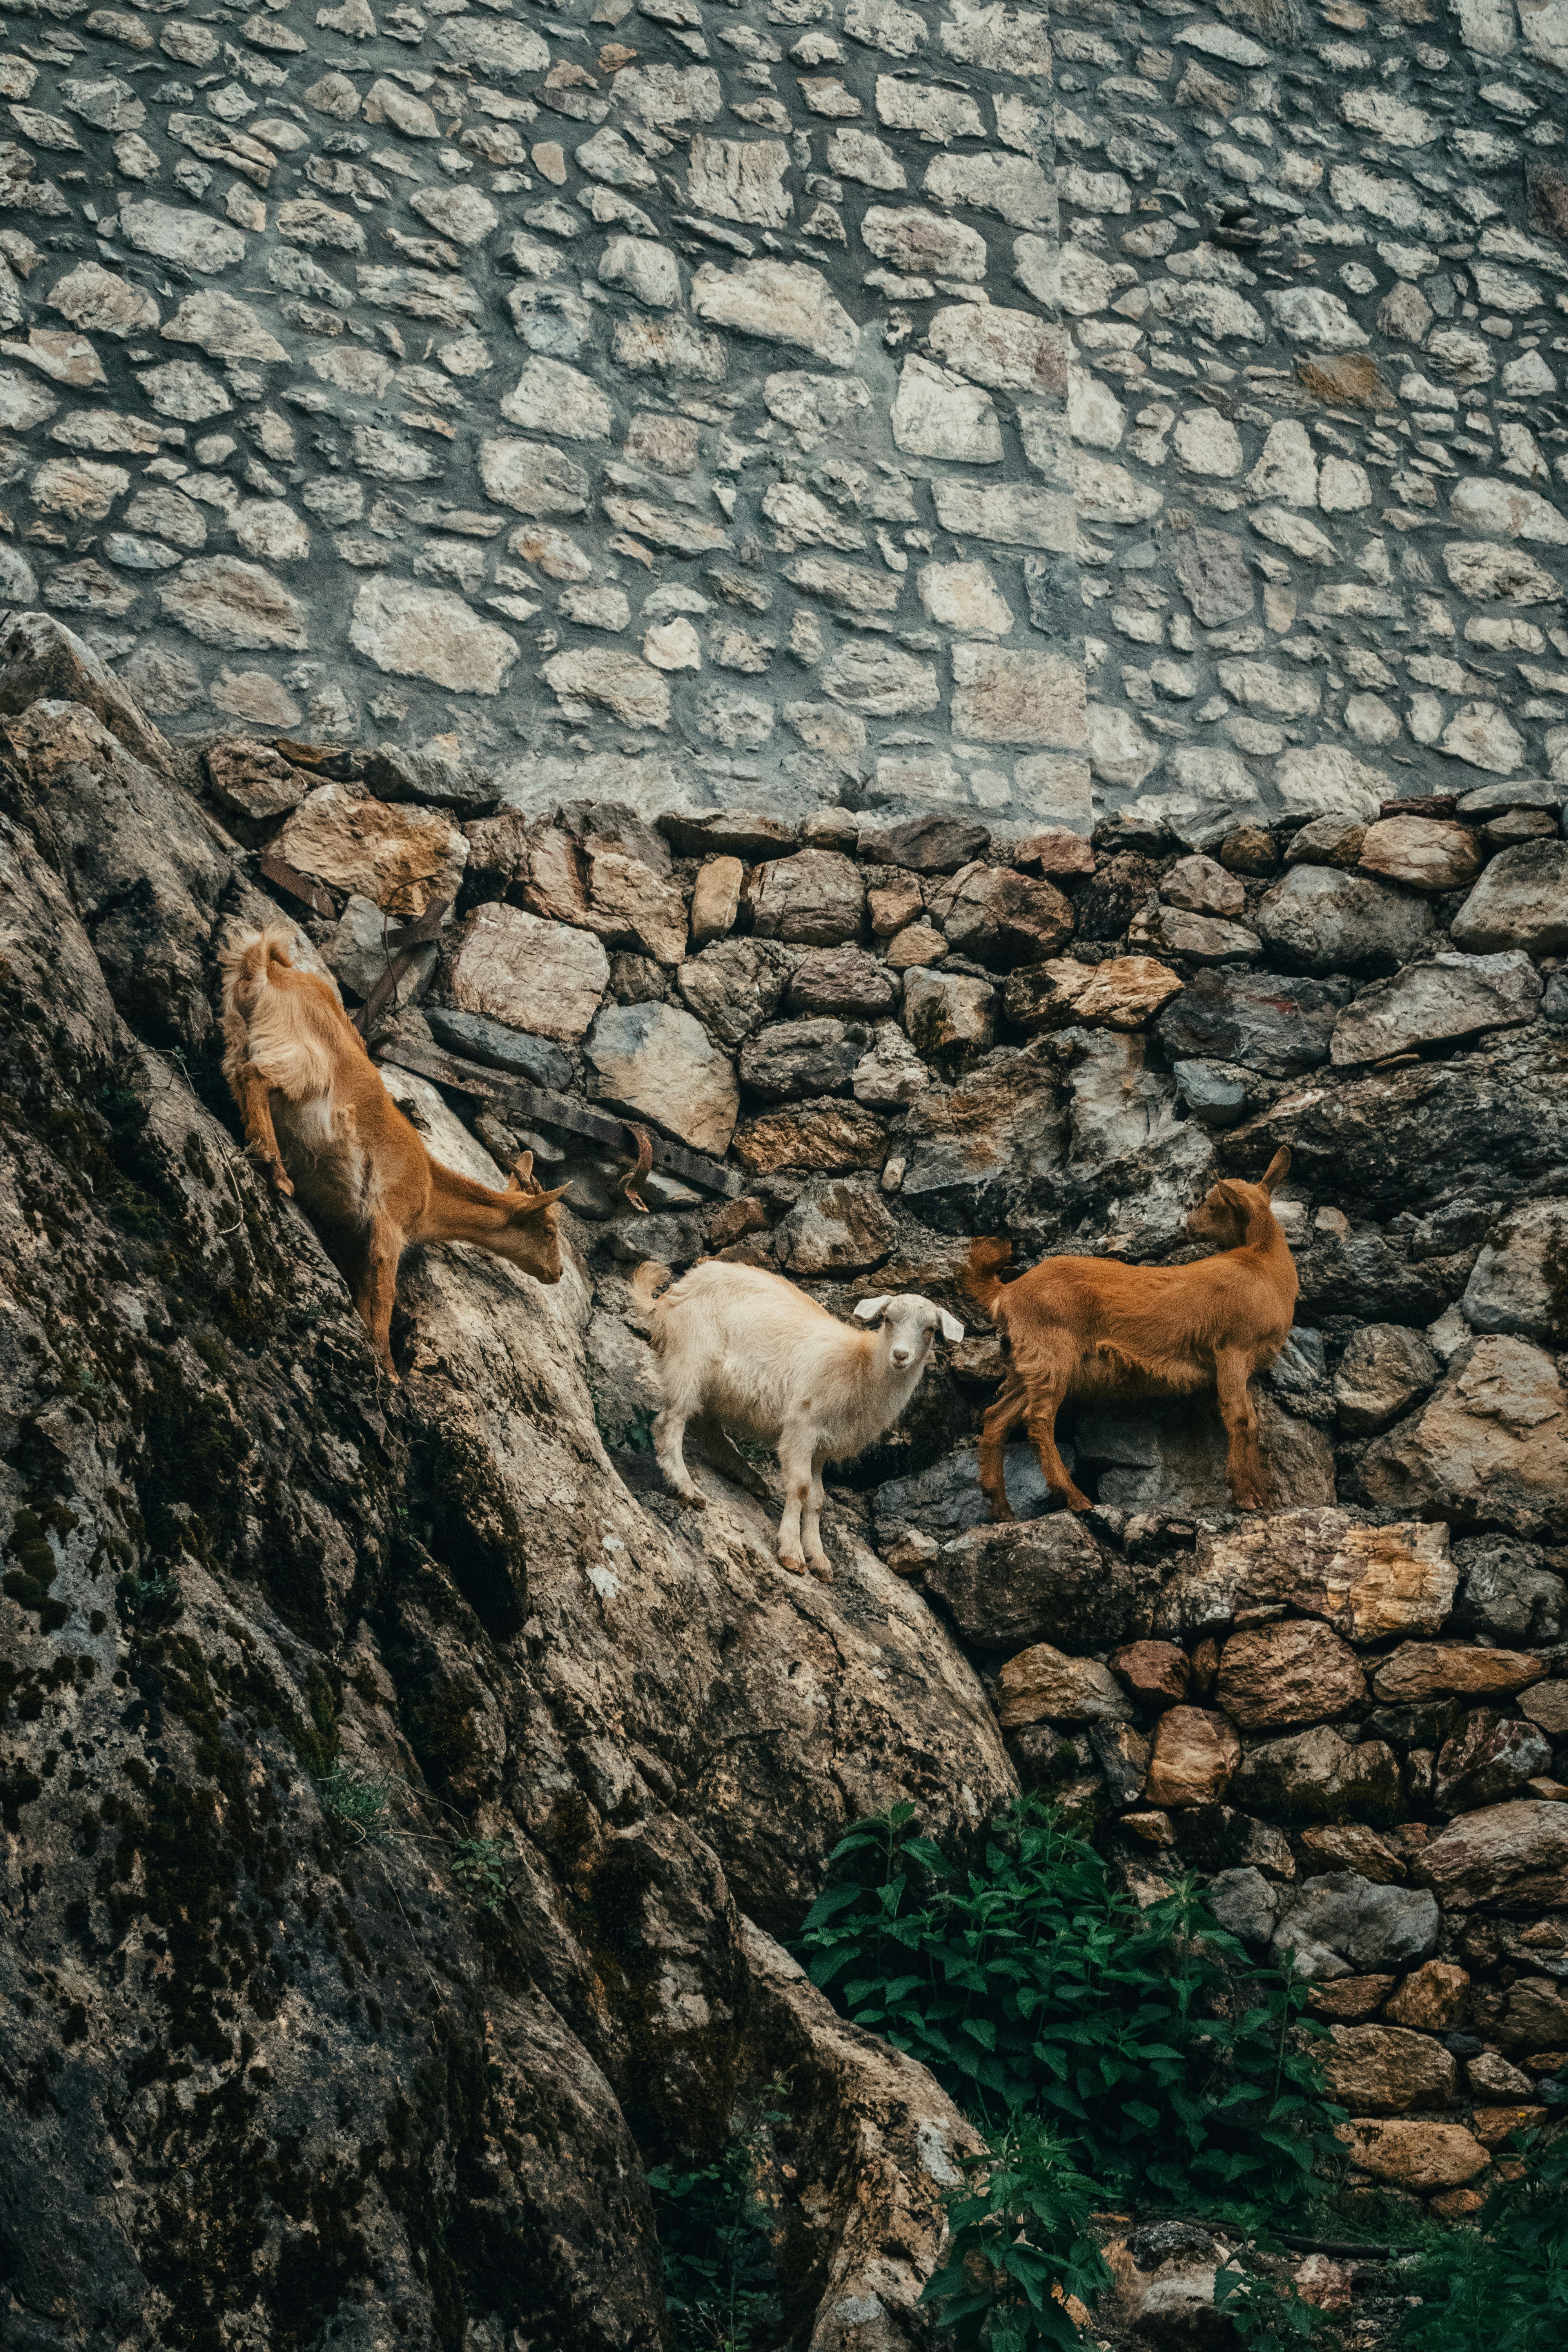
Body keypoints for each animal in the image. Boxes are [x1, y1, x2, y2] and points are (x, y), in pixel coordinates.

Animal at [221, 925, 569, 1377]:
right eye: (548, 1229)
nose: (557, 1273)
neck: (430, 1189)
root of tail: (266, 968)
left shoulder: (356, 1236)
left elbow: (364, 1292)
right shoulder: (388, 1221)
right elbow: (383, 1298)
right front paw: (388, 1369)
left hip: (239, 1038)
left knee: (239, 1075)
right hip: (303, 1065)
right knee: (256, 1076)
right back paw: (276, 1171)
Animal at [631, 1260, 962, 1579]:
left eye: (930, 1328)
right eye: (889, 1319)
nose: (900, 1355)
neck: (860, 1366)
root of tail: (672, 1293)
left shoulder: (823, 1444)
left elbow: (817, 1499)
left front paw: (819, 1559)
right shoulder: (803, 1425)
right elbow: (801, 1487)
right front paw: (792, 1552)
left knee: (706, 1425)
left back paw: (747, 1476)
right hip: (690, 1357)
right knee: (672, 1420)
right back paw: (686, 1487)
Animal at [961, 1148, 1297, 1518]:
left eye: (1211, 1206)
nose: (1188, 1226)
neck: (1263, 1267)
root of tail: (1006, 1293)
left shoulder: (1245, 1362)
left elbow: (1251, 1423)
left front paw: (1260, 1495)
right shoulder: (1232, 1351)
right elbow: (1240, 1419)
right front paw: (1245, 1496)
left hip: (1030, 1362)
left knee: (997, 1418)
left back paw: (1001, 1508)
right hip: (1052, 1353)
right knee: (1038, 1419)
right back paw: (1075, 1498)